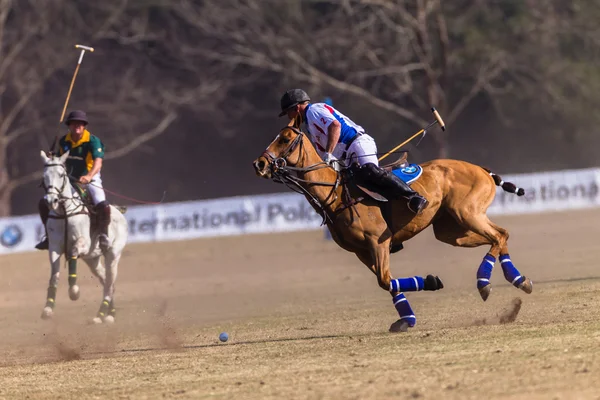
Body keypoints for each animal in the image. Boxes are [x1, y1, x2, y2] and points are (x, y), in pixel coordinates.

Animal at [40, 151, 129, 324]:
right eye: (44, 175)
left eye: (61, 174)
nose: (51, 200)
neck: (64, 211)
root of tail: (119, 212)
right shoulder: (54, 247)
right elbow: (54, 275)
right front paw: (48, 308)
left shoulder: (84, 243)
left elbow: (73, 252)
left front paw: (74, 291)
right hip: (92, 259)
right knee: (106, 281)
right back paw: (110, 313)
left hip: (113, 255)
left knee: (109, 283)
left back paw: (100, 315)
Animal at [251, 116, 532, 332]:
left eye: (285, 138)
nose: (259, 164)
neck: (336, 193)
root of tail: (482, 170)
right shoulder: (361, 251)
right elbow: (387, 280)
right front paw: (408, 317)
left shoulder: (379, 241)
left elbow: (385, 280)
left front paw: (431, 282)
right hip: (451, 231)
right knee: (501, 235)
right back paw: (519, 280)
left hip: (467, 213)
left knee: (498, 236)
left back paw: (485, 283)